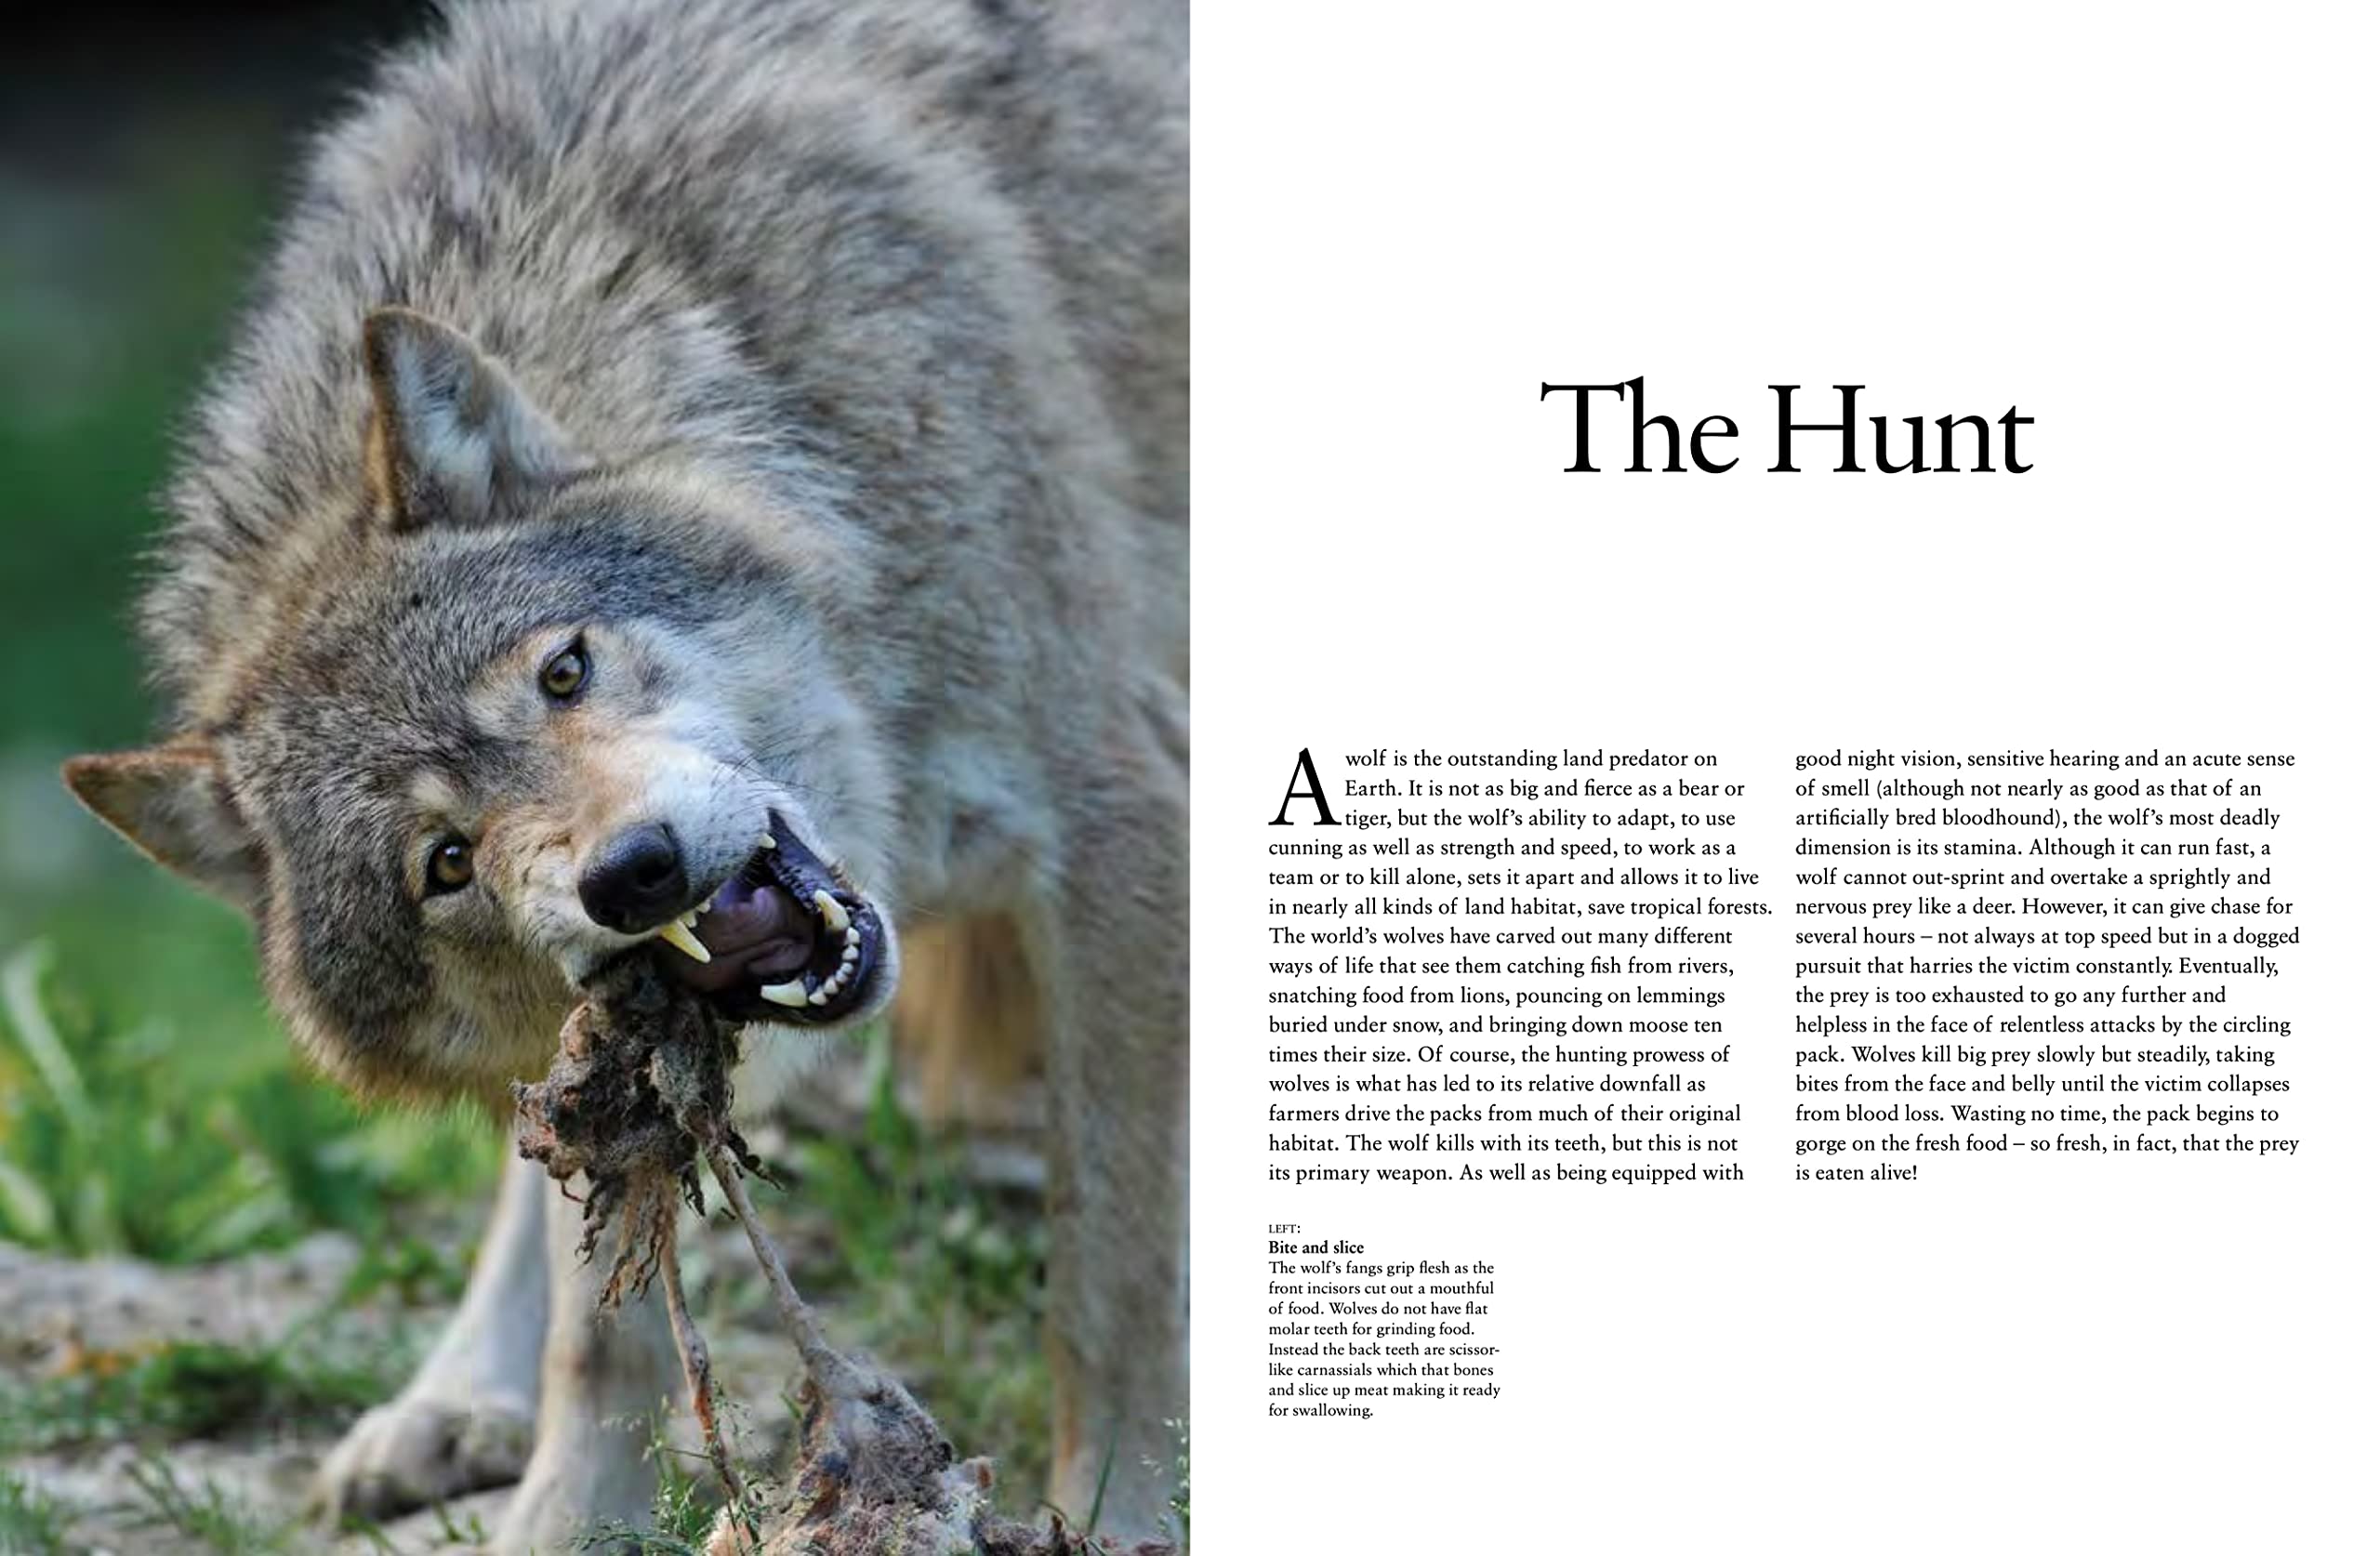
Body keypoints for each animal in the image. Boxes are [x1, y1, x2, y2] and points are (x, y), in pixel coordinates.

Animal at [61, 0, 1186, 1546]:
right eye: (446, 862)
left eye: (565, 672)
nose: (634, 871)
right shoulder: (605, 1054)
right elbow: (595, 1327)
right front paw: (564, 1507)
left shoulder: (1117, 822)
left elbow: (1111, 1276)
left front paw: (1120, 1513)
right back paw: (451, 1397)